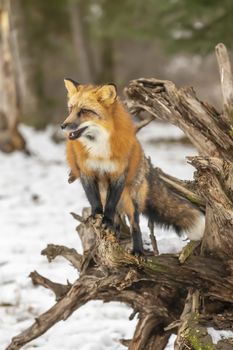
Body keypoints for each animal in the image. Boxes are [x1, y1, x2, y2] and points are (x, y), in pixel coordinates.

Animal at [61, 79, 205, 254]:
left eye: (84, 111)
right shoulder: (87, 172)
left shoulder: (118, 174)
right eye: (71, 109)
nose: (63, 125)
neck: (99, 150)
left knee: (135, 224)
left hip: (131, 199)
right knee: (119, 218)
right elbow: (94, 200)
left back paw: (137, 250)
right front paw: (96, 215)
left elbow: (110, 207)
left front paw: (106, 220)